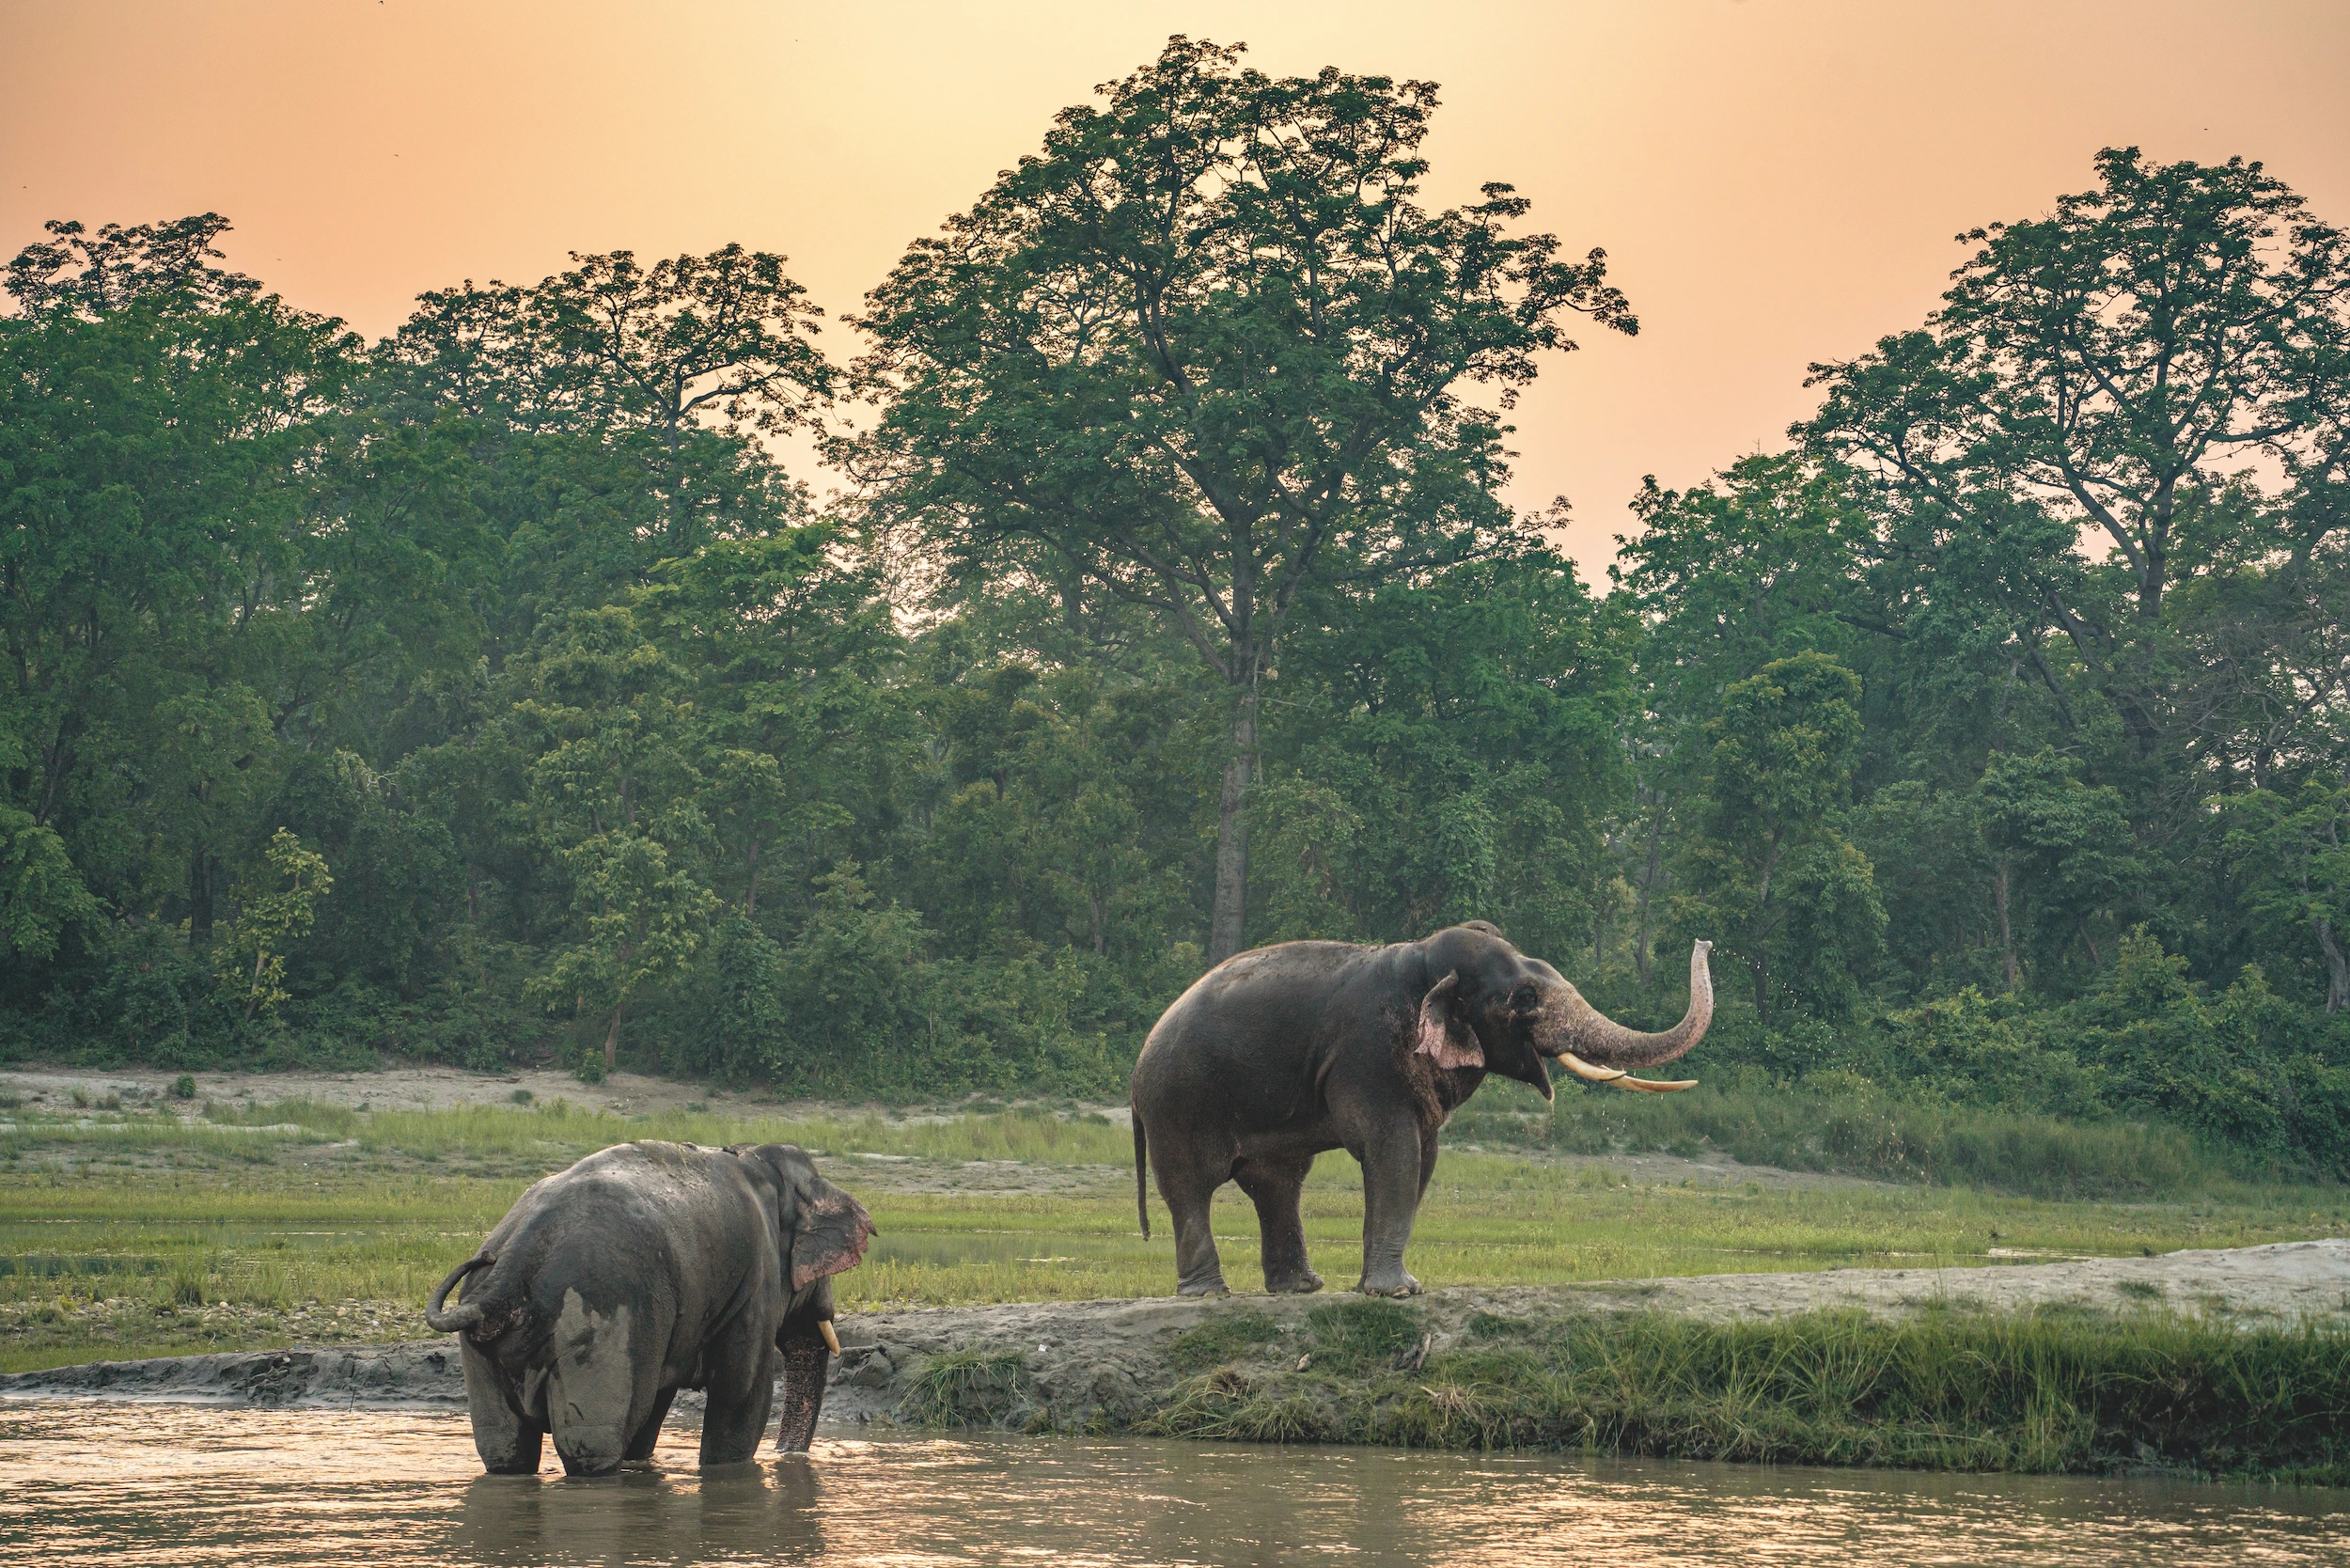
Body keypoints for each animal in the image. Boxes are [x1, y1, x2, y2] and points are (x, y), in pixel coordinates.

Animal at [423, 1140, 875, 1476]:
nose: (787, 1456)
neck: (757, 1159)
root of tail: (508, 1267)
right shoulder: (755, 1280)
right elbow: (741, 1391)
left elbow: (656, 1400)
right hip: (601, 1324)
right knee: (591, 1444)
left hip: (484, 1345)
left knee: (504, 1447)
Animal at [1131, 924, 1713, 1298]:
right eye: (1524, 998)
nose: (1705, 941)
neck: (1421, 960)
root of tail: (1137, 1072)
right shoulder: (1367, 1057)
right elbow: (1394, 1150)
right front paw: (1399, 1294)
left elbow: (1423, 1158)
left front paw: (1378, 1289)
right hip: (1178, 1103)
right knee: (1192, 1187)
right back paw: (1209, 1295)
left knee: (1277, 1183)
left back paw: (1301, 1288)